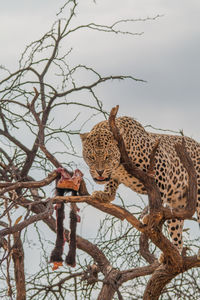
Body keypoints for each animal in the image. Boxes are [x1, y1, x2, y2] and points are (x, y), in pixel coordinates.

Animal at [79, 116, 200, 254]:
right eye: (91, 157)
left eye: (107, 156)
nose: (99, 171)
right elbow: (111, 182)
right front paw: (105, 194)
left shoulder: (161, 164)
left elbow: (158, 193)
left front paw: (152, 215)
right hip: (177, 202)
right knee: (177, 233)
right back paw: (170, 254)